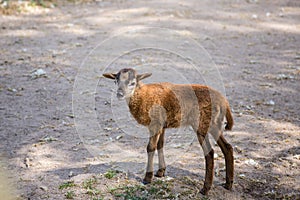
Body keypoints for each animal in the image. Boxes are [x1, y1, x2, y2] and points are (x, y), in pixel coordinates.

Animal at [103, 68, 234, 195]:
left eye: (132, 83)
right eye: (116, 81)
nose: (119, 94)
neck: (143, 96)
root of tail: (224, 102)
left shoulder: (155, 124)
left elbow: (150, 148)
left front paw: (147, 178)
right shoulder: (162, 125)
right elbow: (160, 145)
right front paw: (160, 172)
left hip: (202, 124)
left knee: (210, 152)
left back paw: (205, 189)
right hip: (214, 124)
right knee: (227, 147)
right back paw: (228, 184)